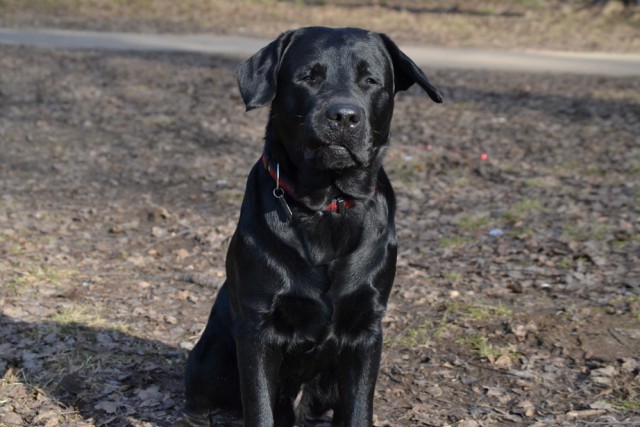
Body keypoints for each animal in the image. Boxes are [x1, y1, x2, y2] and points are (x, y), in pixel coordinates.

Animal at [180, 27, 440, 427]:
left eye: (370, 80)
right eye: (308, 77)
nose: (344, 116)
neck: (326, 205)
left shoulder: (366, 329)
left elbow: (358, 411)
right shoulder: (257, 329)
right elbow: (259, 407)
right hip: (209, 362)